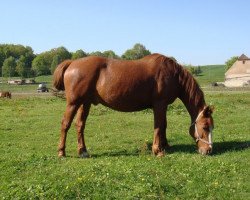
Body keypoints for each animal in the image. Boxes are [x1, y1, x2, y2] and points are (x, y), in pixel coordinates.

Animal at [53, 53, 214, 158]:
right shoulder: (159, 104)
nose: (208, 150)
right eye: (205, 127)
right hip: (73, 103)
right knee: (65, 124)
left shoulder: (163, 106)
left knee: (79, 125)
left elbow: (163, 125)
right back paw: (61, 152)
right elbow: (159, 126)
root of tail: (72, 63)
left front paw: (165, 145)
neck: (173, 75)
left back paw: (83, 151)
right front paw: (158, 150)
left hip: (85, 103)